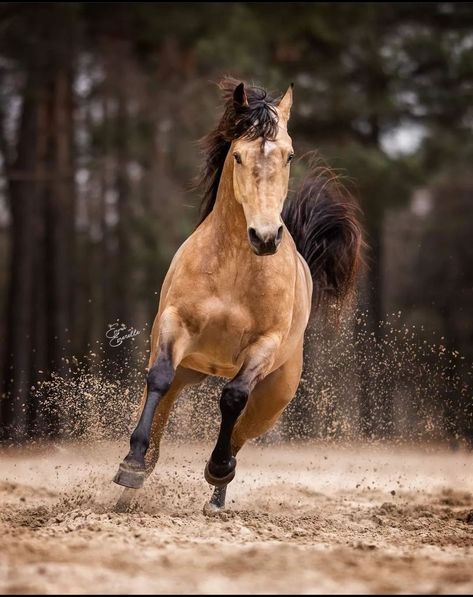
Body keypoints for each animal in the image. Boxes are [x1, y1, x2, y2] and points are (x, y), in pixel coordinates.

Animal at [113, 77, 362, 510]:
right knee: (161, 416)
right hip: (189, 368)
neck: (233, 268)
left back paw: (217, 493)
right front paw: (131, 464)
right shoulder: (175, 325)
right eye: (239, 157)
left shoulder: (264, 345)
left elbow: (232, 398)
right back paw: (133, 485)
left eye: (289, 155)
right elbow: (158, 379)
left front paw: (217, 468)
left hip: (273, 398)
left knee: (242, 429)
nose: (265, 236)